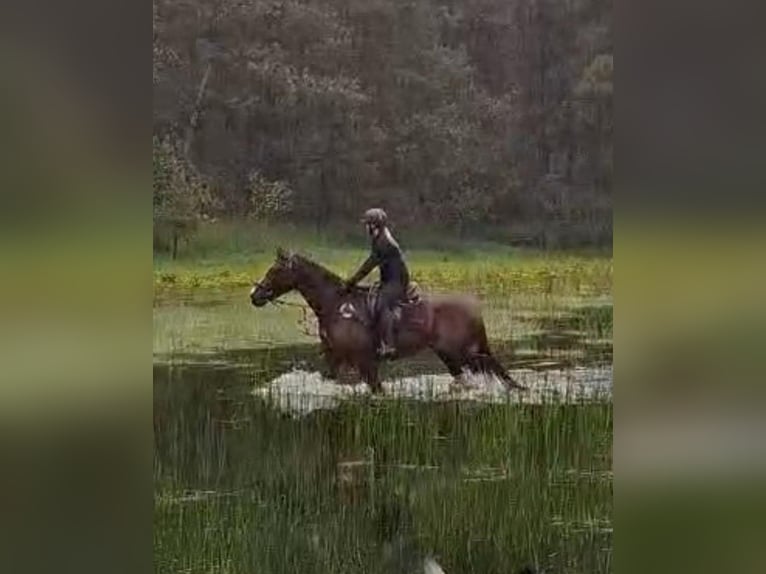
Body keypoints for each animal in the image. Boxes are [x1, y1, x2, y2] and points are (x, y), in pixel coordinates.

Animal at [252, 250, 528, 394]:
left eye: (275, 270)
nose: (255, 295)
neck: (335, 305)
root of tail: (472, 306)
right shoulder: (335, 358)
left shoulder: (365, 362)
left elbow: (378, 389)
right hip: (450, 356)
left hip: (463, 352)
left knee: (493, 367)